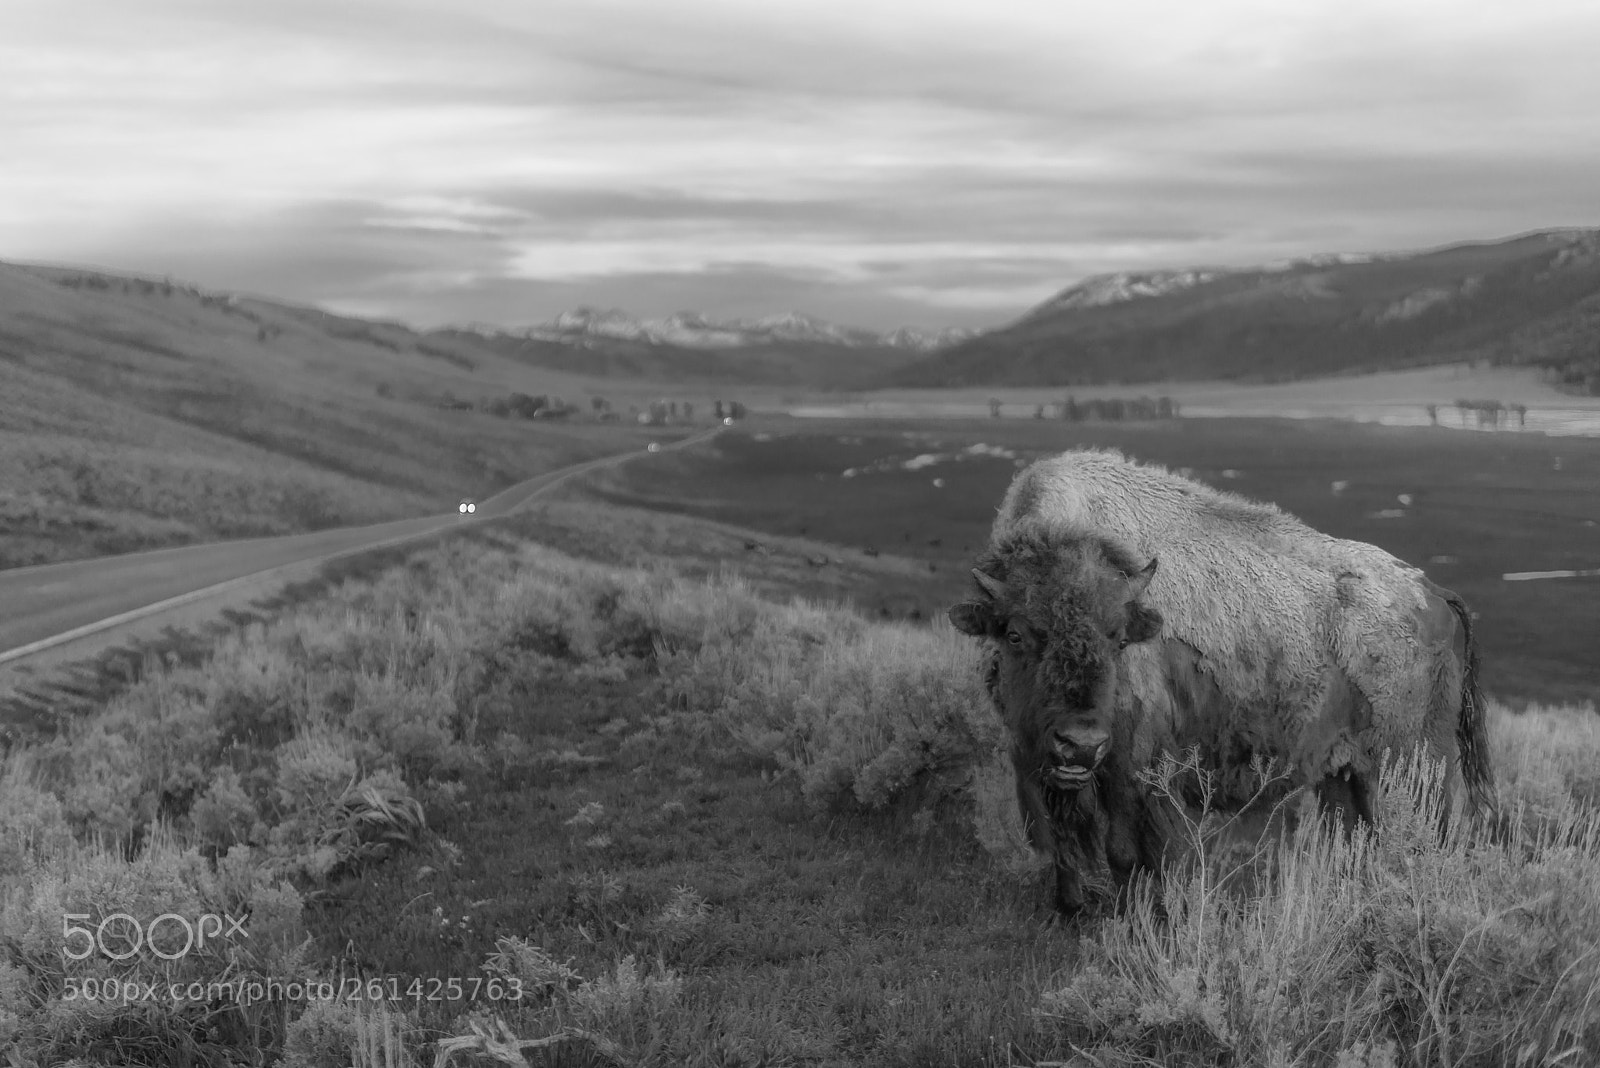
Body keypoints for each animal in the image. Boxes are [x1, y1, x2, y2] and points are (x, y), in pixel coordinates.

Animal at [950, 449, 1493, 916]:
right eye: (1014, 634)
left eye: (1118, 638)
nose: (1078, 744)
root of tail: (1433, 591)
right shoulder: (1035, 764)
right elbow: (1059, 843)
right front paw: (1071, 907)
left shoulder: (1132, 769)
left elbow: (1127, 852)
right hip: (1345, 771)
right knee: (1356, 835)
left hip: (1419, 763)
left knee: (1436, 832)